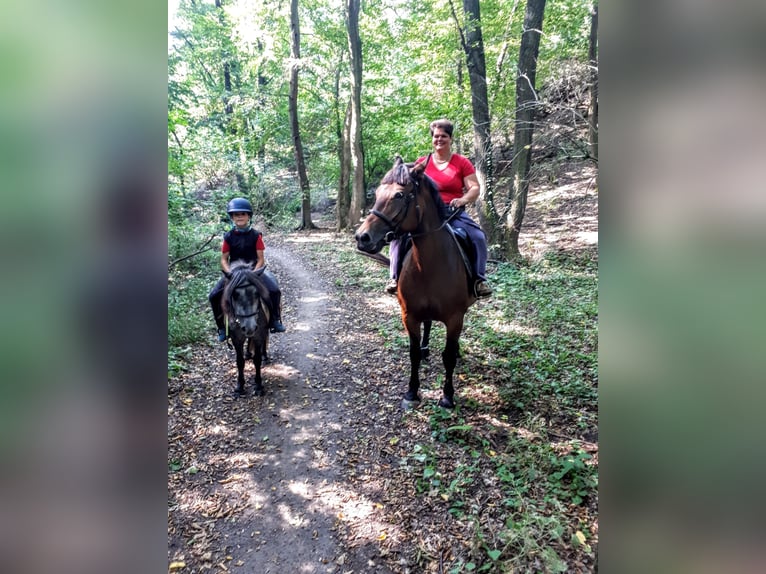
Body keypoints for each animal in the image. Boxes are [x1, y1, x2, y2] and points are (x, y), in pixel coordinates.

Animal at [220, 260, 272, 396]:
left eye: (256, 293)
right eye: (235, 295)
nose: (250, 327)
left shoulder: (258, 335)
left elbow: (257, 360)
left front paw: (258, 385)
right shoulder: (236, 339)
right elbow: (239, 361)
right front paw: (240, 386)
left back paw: (264, 355)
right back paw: (248, 352)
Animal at [356, 158, 476, 410]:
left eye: (399, 195)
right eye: (378, 192)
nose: (362, 237)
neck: (429, 264)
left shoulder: (455, 318)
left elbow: (448, 356)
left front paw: (447, 396)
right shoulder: (409, 315)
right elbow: (412, 353)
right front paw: (411, 392)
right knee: (428, 324)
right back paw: (425, 348)